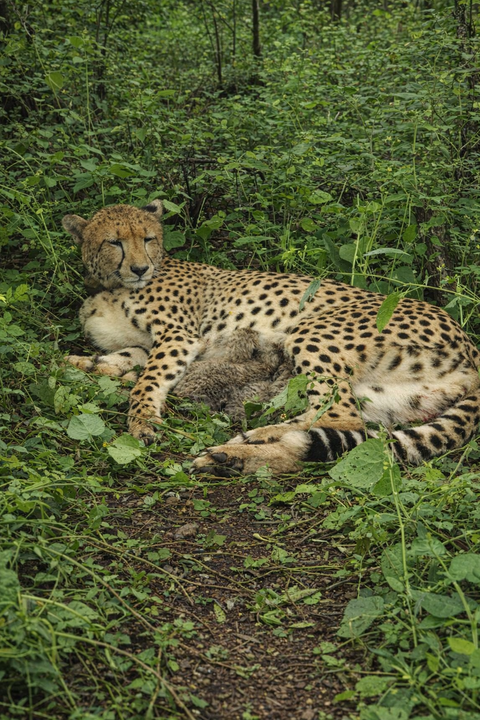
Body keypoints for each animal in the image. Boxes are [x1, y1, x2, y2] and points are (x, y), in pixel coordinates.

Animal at [63, 199, 480, 476]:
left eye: (148, 238)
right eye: (114, 242)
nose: (140, 268)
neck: (110, 285)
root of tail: (471, 344)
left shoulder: (178, 336)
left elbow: (147, 380)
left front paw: (142, 421)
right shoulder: (149, 343)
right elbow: (121, 359)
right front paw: (79, 363)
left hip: (313, 331)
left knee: (341, 418)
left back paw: (251, 438)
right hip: (386, 399)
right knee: (345, 429)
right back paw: (234, 456)